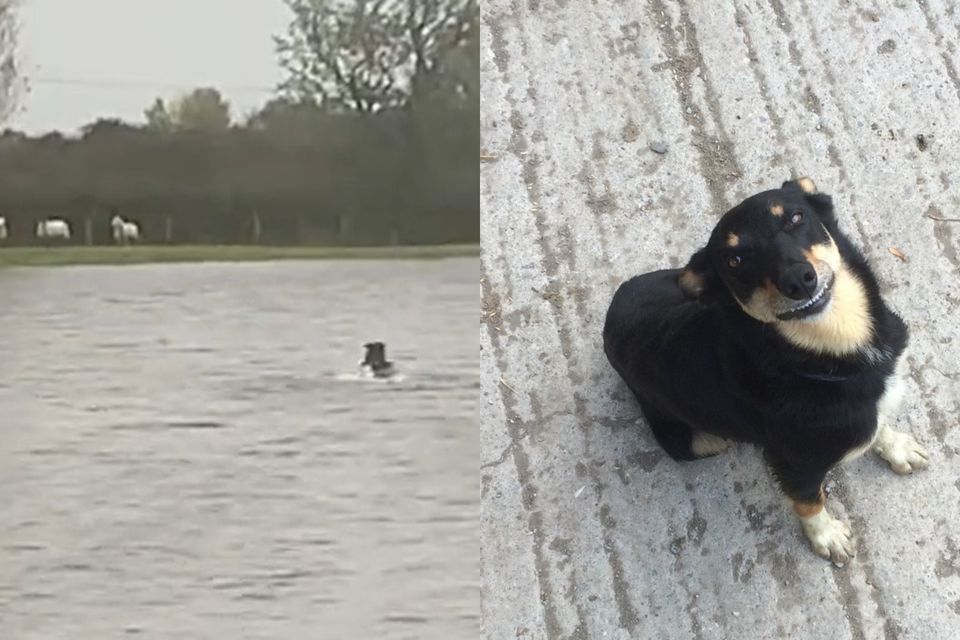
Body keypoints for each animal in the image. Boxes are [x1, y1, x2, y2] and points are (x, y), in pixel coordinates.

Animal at [604, 178, 928, 564]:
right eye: (735, 260)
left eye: (795, 217)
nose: (799, 280)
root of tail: (609, 319)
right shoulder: (795, 465)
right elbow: (809, 501)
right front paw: (826, 535)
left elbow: (880, 425)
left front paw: (896, 446)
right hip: (693, 441)